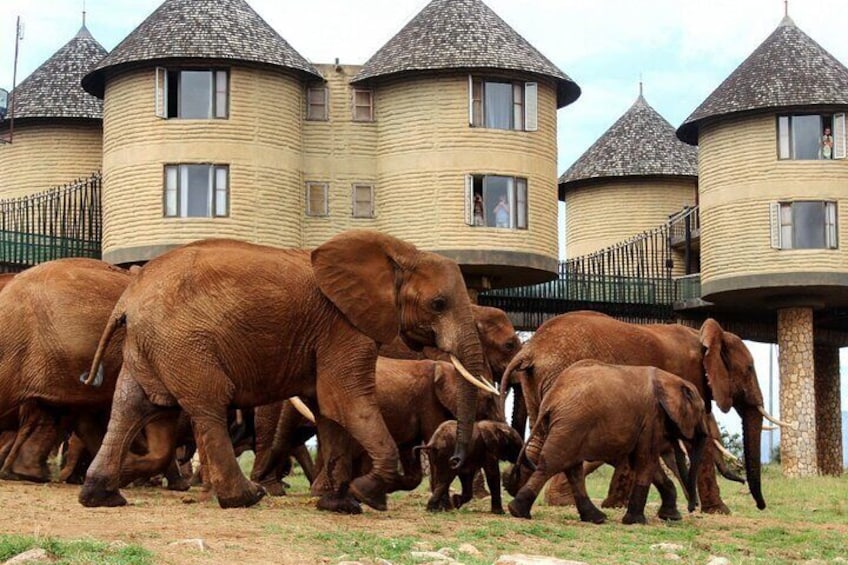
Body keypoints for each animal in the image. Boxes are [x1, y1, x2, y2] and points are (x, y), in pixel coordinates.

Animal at [80, 230, 494, 512]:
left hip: (150, 344)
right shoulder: (343, 326)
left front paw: (338, 504)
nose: (455, 459)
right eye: (438, 304)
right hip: (185, 343)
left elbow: (329, 409)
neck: (399, 251)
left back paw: (102, 495)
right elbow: (345, 400)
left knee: (130, 406)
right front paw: (366, 494)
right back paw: (246, 498)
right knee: (208, 405)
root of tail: (127, 298)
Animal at [504, 362, 708, 524]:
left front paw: (672, 517)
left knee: (572, 468)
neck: (670, 379)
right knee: (553, 464)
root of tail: (551, 399)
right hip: (572, 423)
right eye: (701, 411)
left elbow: (644, 462)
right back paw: (518, 511)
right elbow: (646, 461)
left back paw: (596, 518)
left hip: (569, 427)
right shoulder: (652, 417)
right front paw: (636, 522)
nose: (692, 508)